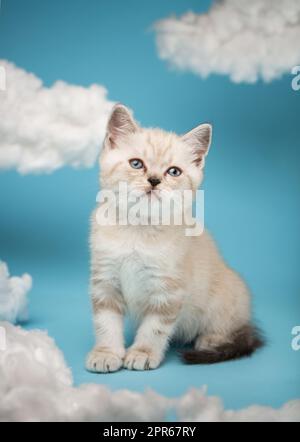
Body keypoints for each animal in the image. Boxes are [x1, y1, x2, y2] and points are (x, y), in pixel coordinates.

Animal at [85, 104, 264, 372]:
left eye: (173, 172)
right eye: (136, 164)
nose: (154, 180)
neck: (138, 228)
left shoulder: (168, 291)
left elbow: (154, 329)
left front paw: (142, 353)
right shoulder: (105, 282)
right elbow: (106, 324)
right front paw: (107, 353)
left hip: (225, 297)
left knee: (230, 328)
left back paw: (210, 340)